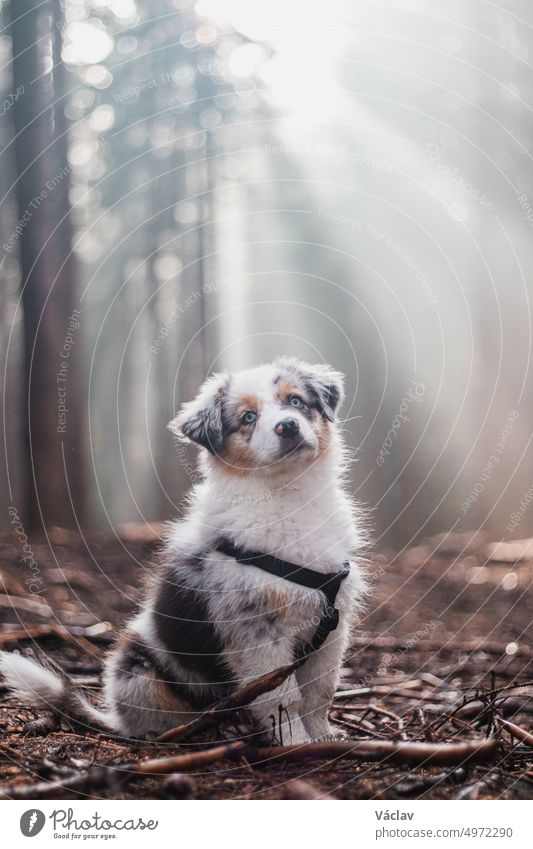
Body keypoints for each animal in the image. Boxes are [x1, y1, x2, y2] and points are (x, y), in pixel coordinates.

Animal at [0, 358, 366, 744]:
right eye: (248, 417)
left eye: (295, 401)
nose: (288, 426)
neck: (287, 495)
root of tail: (115, 718)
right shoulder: (256, 630)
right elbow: (282, 696)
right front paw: (295, 744)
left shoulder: (333, 626)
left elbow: (320, 691)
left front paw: (323, 738)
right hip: (138, 668)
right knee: (165, 720)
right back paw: (211, 729)